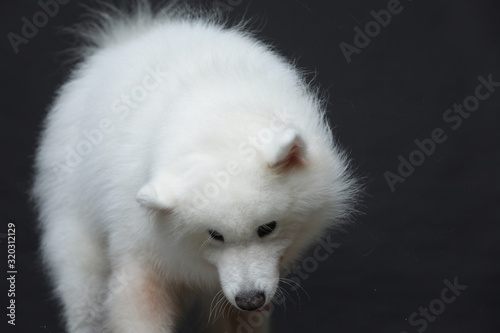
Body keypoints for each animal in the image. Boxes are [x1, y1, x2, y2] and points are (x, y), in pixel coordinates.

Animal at [32, 1, 356, 330]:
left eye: (267, 227)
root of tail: (127, 38)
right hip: (77, 229)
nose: (250, 299)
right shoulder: (140, 253)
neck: (219, 120)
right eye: (214, 235)